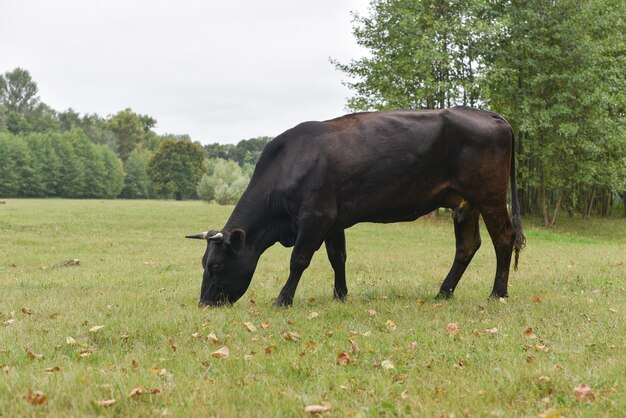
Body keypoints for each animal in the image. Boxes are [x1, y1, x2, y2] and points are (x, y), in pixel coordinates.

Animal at [185, 108, 520, 306]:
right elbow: (338, 258)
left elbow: (299, 260)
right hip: (465, 202)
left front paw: (282, 299)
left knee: (504, 239)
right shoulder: (333, 220)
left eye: (215, 265)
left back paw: (497, 293)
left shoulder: (315, 217)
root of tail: (491, 115)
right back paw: (443, 292)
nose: (204, 304)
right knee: (467, 246)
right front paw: (340, 295)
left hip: (490, 196)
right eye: (203, 263)